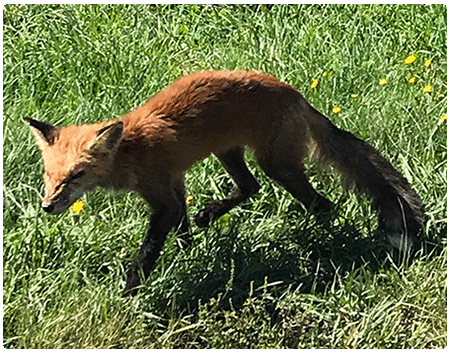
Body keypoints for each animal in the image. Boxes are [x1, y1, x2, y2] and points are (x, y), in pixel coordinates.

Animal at [25, 69, 426, 294]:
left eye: (76, 176)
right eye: (49, 176)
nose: (47, 206)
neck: (132, 149)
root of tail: (295, 93)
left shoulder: (161, 195)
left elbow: (148, 249)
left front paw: (131, 290)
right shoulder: (175, 183)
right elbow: (182, 226)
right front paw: (187, 251)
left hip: (276, 166)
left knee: (321, 204)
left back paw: (324, 242)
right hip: (228, 153)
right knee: (250, 188)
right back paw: (211, 214)